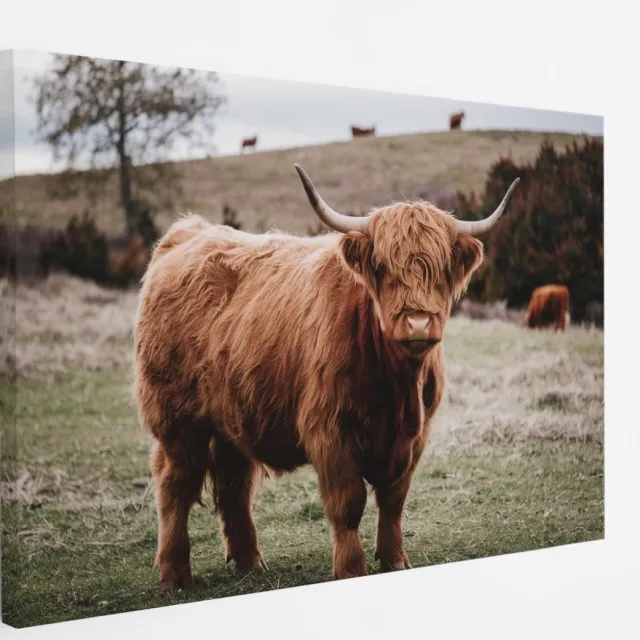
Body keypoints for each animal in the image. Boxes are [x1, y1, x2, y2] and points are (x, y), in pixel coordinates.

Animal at [133, 164, 520, 591]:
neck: (396, 388)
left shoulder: (416, 436)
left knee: (234, 485)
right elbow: (348, 504)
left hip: (231, 416)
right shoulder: (330, 431)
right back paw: (175, 574)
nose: (418, 323)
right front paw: (351, 569)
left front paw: (396, 561)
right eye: (383, 268)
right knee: (175, 485)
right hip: (178, 420)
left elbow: (394, 501)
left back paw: (250, 561)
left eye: (440, 270)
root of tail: (187, 233)